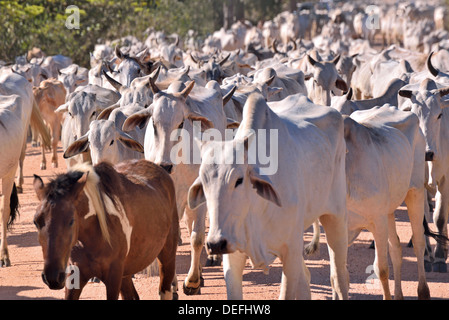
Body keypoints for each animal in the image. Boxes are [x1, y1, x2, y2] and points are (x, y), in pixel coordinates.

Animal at [187, 92, 348, 300]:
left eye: (239, 180)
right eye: (204, 181)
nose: (215, 243)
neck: (257, 208)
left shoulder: (291, 251)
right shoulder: (233, 254)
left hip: (335, 217)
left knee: (338, 277)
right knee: (306, 278)